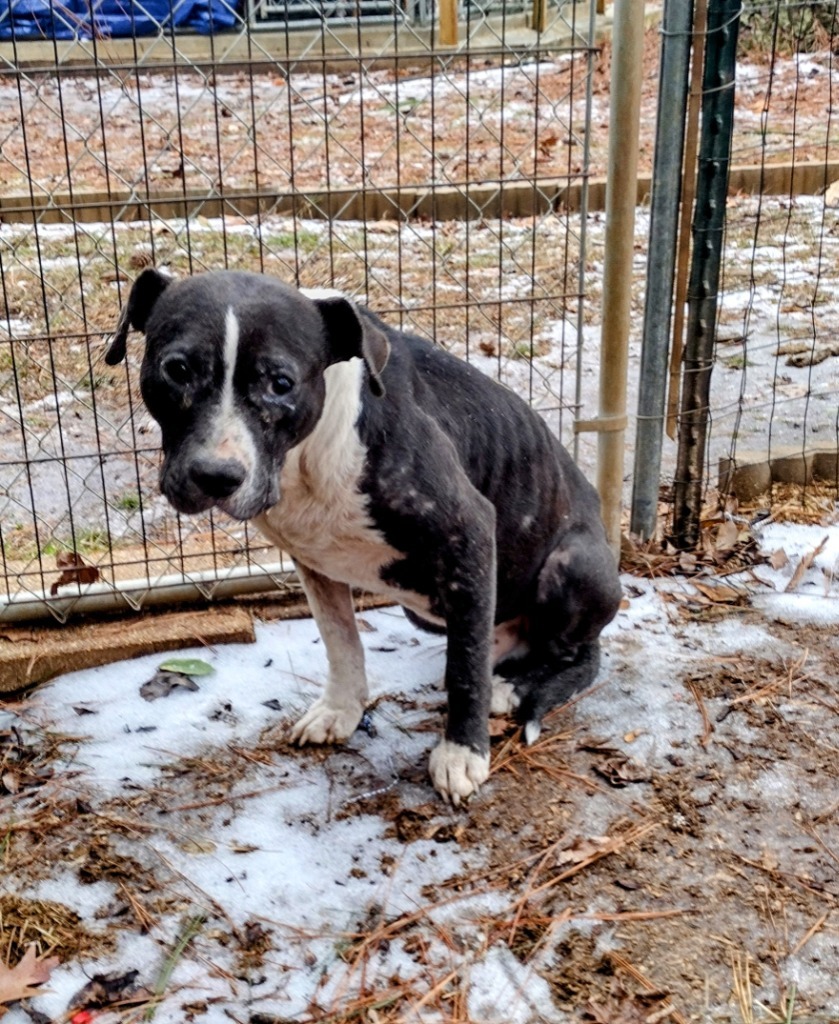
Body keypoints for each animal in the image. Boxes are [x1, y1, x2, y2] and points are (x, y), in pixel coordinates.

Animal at [106, 272, 622, 806]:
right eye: (177, 369)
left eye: (281, 383)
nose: (215, 476)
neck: (305, 459)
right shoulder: (313, 561)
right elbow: (342, 643)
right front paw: (340, 711)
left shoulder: (470, 531)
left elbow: (463, 671)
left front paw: (462, 753)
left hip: (571, 565)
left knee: (579, 655)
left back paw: (512, 688)